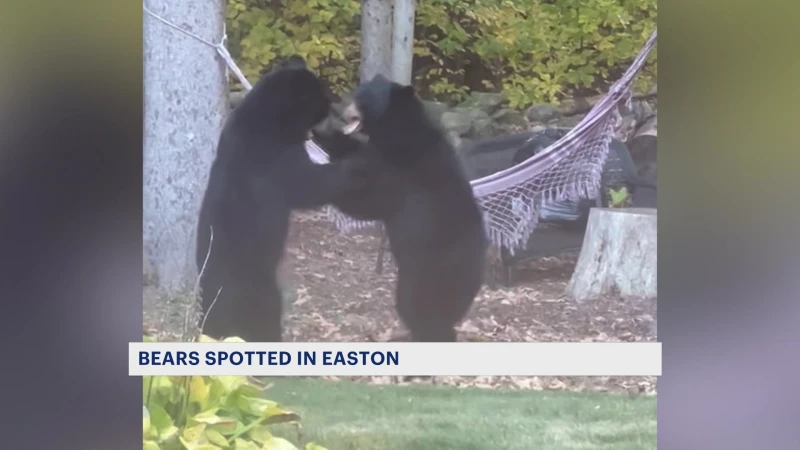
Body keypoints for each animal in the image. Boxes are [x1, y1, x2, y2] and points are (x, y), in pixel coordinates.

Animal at [197, 56, 366, 342]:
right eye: (324, 97)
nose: (339, 105)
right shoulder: (273, 156)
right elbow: (309, 186)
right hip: (256, 283)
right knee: (266, 312)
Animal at [312, 75, 488, 342]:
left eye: (362, 97)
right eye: (357, 91)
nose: (341, 109)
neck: (395, 130)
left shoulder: (400, 168)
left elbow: (370, 197)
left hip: (427, 270)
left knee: (415, 305)